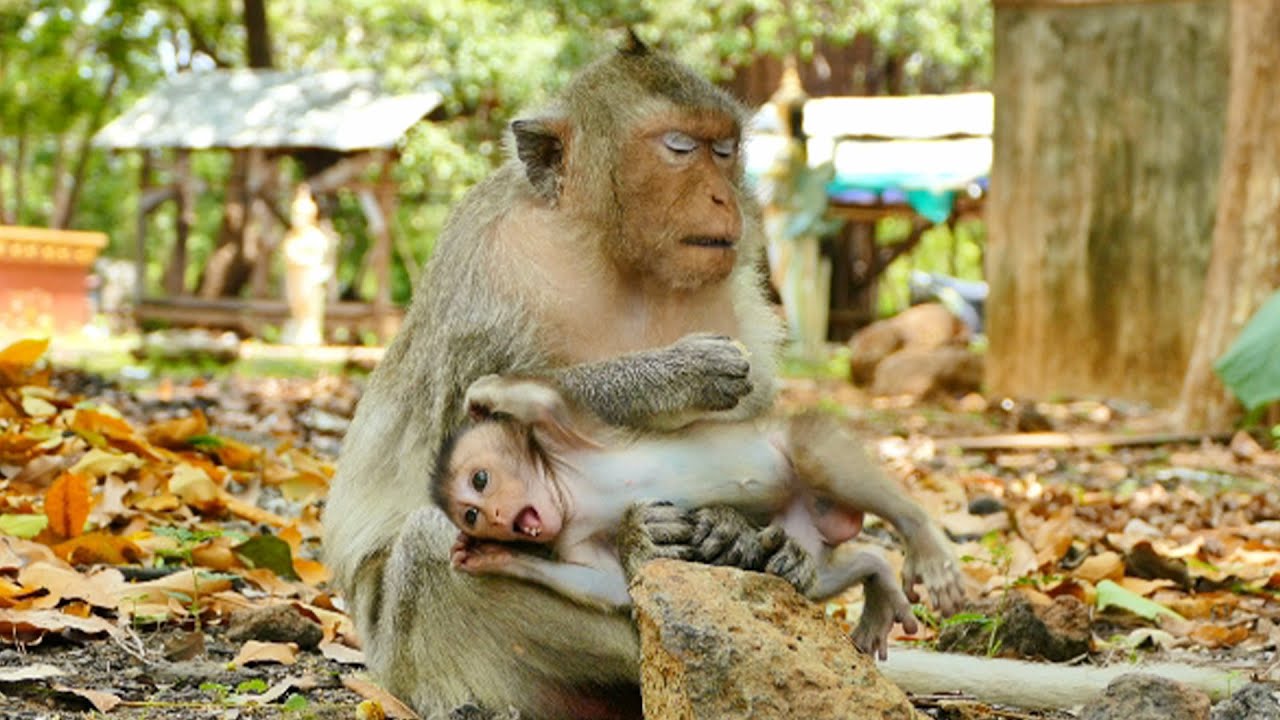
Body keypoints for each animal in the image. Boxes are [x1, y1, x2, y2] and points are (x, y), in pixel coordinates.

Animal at [431, 374, 933, 660]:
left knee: (814, 452)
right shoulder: (572, 536)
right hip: (798, 525)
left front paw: (486, 394)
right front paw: (493, 556)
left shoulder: (566, 441)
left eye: (480, 480)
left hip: (809, 456)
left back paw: (922, 534)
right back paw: (875, 573)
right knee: (806, 573)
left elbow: (543, 404)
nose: (496, 515)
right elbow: (608, 584)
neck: (568, 495)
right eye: (471, 515)